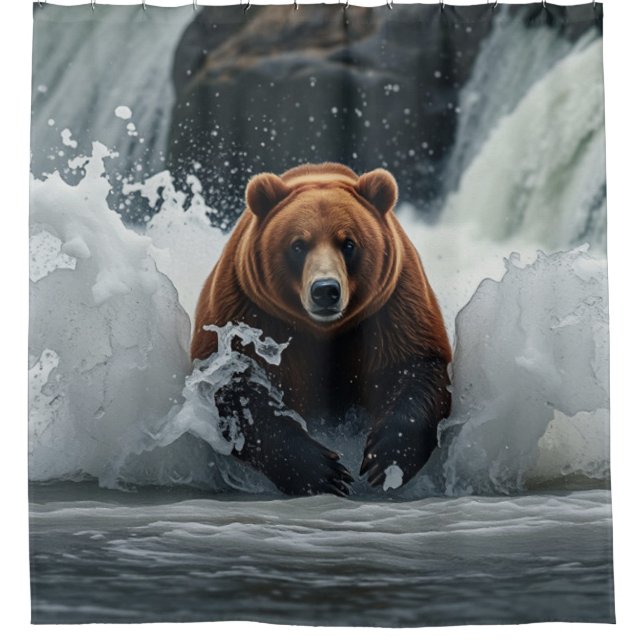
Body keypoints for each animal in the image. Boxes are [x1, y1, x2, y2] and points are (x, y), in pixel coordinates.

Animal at [191, 163, 452, 497]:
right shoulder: (247, 312)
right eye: (298, 244)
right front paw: (324, 471)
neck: (325, 331)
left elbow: (415, 366)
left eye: (348, 243)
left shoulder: (394, 306)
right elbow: (235, 384)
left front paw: (385, 459)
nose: (325, 290)